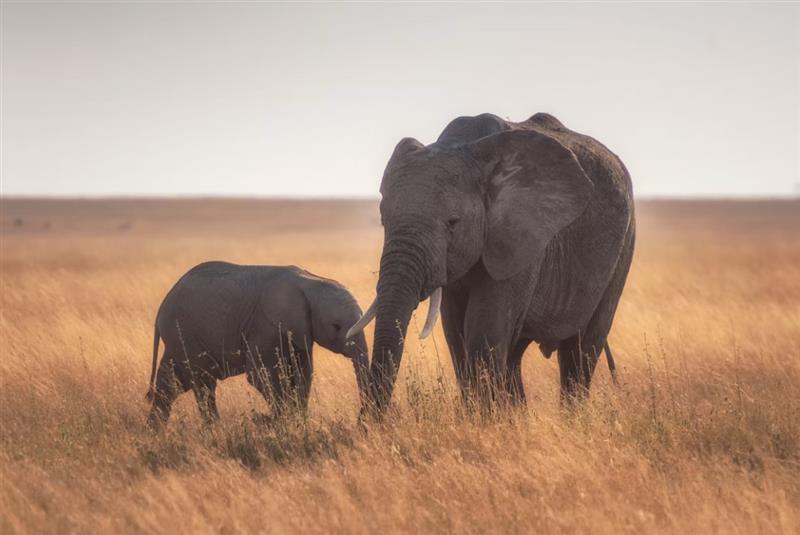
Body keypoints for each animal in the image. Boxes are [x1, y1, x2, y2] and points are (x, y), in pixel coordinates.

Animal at [145, 262, 369, 428]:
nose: (360, 422)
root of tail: (162, 305)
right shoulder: (264, 325)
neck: (310, 281)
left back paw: (155, 432)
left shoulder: (300, 332)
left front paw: (297, 423)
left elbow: (304, 373)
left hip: (180, 337)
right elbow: (261, 375)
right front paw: (280, 422)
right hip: (185, 333)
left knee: (171, 382)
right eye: (336, 326)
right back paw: (214, 430)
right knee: (203, 383)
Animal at [348, 112, 635, 414]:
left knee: (581, 350)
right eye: (383, 220)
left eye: (453, 223)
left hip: (624, 247)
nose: (368, 422)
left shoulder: (520, 237)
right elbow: (456, 333)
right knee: (515, 355)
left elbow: (484, 331)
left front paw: (485, 420)